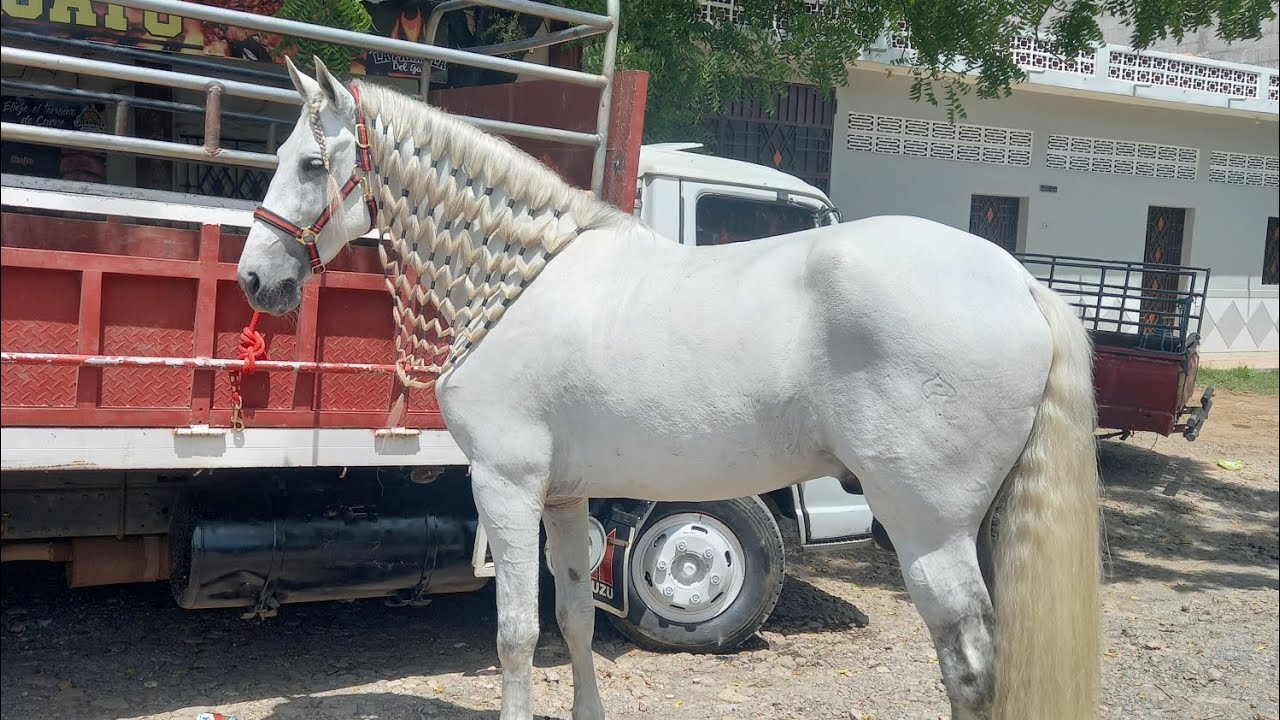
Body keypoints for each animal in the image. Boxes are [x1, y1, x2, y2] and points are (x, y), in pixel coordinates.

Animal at [236, 56, 1102, 720]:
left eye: (310, 163)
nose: (255, 279)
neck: (520, 281)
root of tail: (1018, 281)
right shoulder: (563, 497)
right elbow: (576, 619)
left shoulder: (506, 486)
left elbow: (515, 633)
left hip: (928, 528)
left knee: (969, 663)